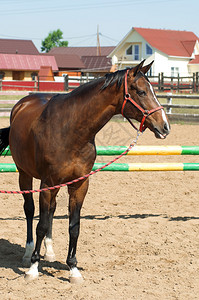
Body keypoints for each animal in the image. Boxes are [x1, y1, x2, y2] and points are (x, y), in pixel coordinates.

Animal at [0, 59, 169, 282]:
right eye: (141, 91)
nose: (165, 126)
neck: (70, 129)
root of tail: (22, 104)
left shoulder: (80, 184)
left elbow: (74, 226)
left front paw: (73, 268)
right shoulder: (47, 184)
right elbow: (41, 224)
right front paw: (33, 268)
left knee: (51, 209)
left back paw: (49, 250)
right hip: (24, 174)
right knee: (30, 210)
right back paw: (29, 254)